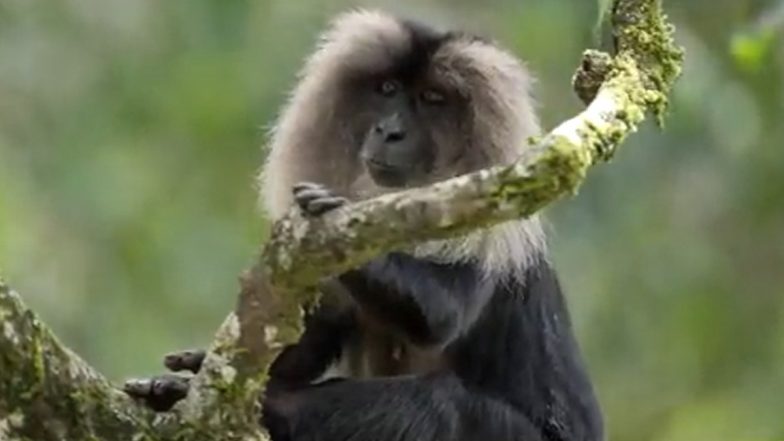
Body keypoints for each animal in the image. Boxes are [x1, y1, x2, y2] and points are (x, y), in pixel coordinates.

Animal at [122, 9, 604, 440]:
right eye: (388, 89)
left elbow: (443, 314)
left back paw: (264, 409)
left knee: (440, 404)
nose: (389, 131)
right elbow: (303, 344)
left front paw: (327, 213)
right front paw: (202, 362)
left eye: (432, 99)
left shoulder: (488, 223)